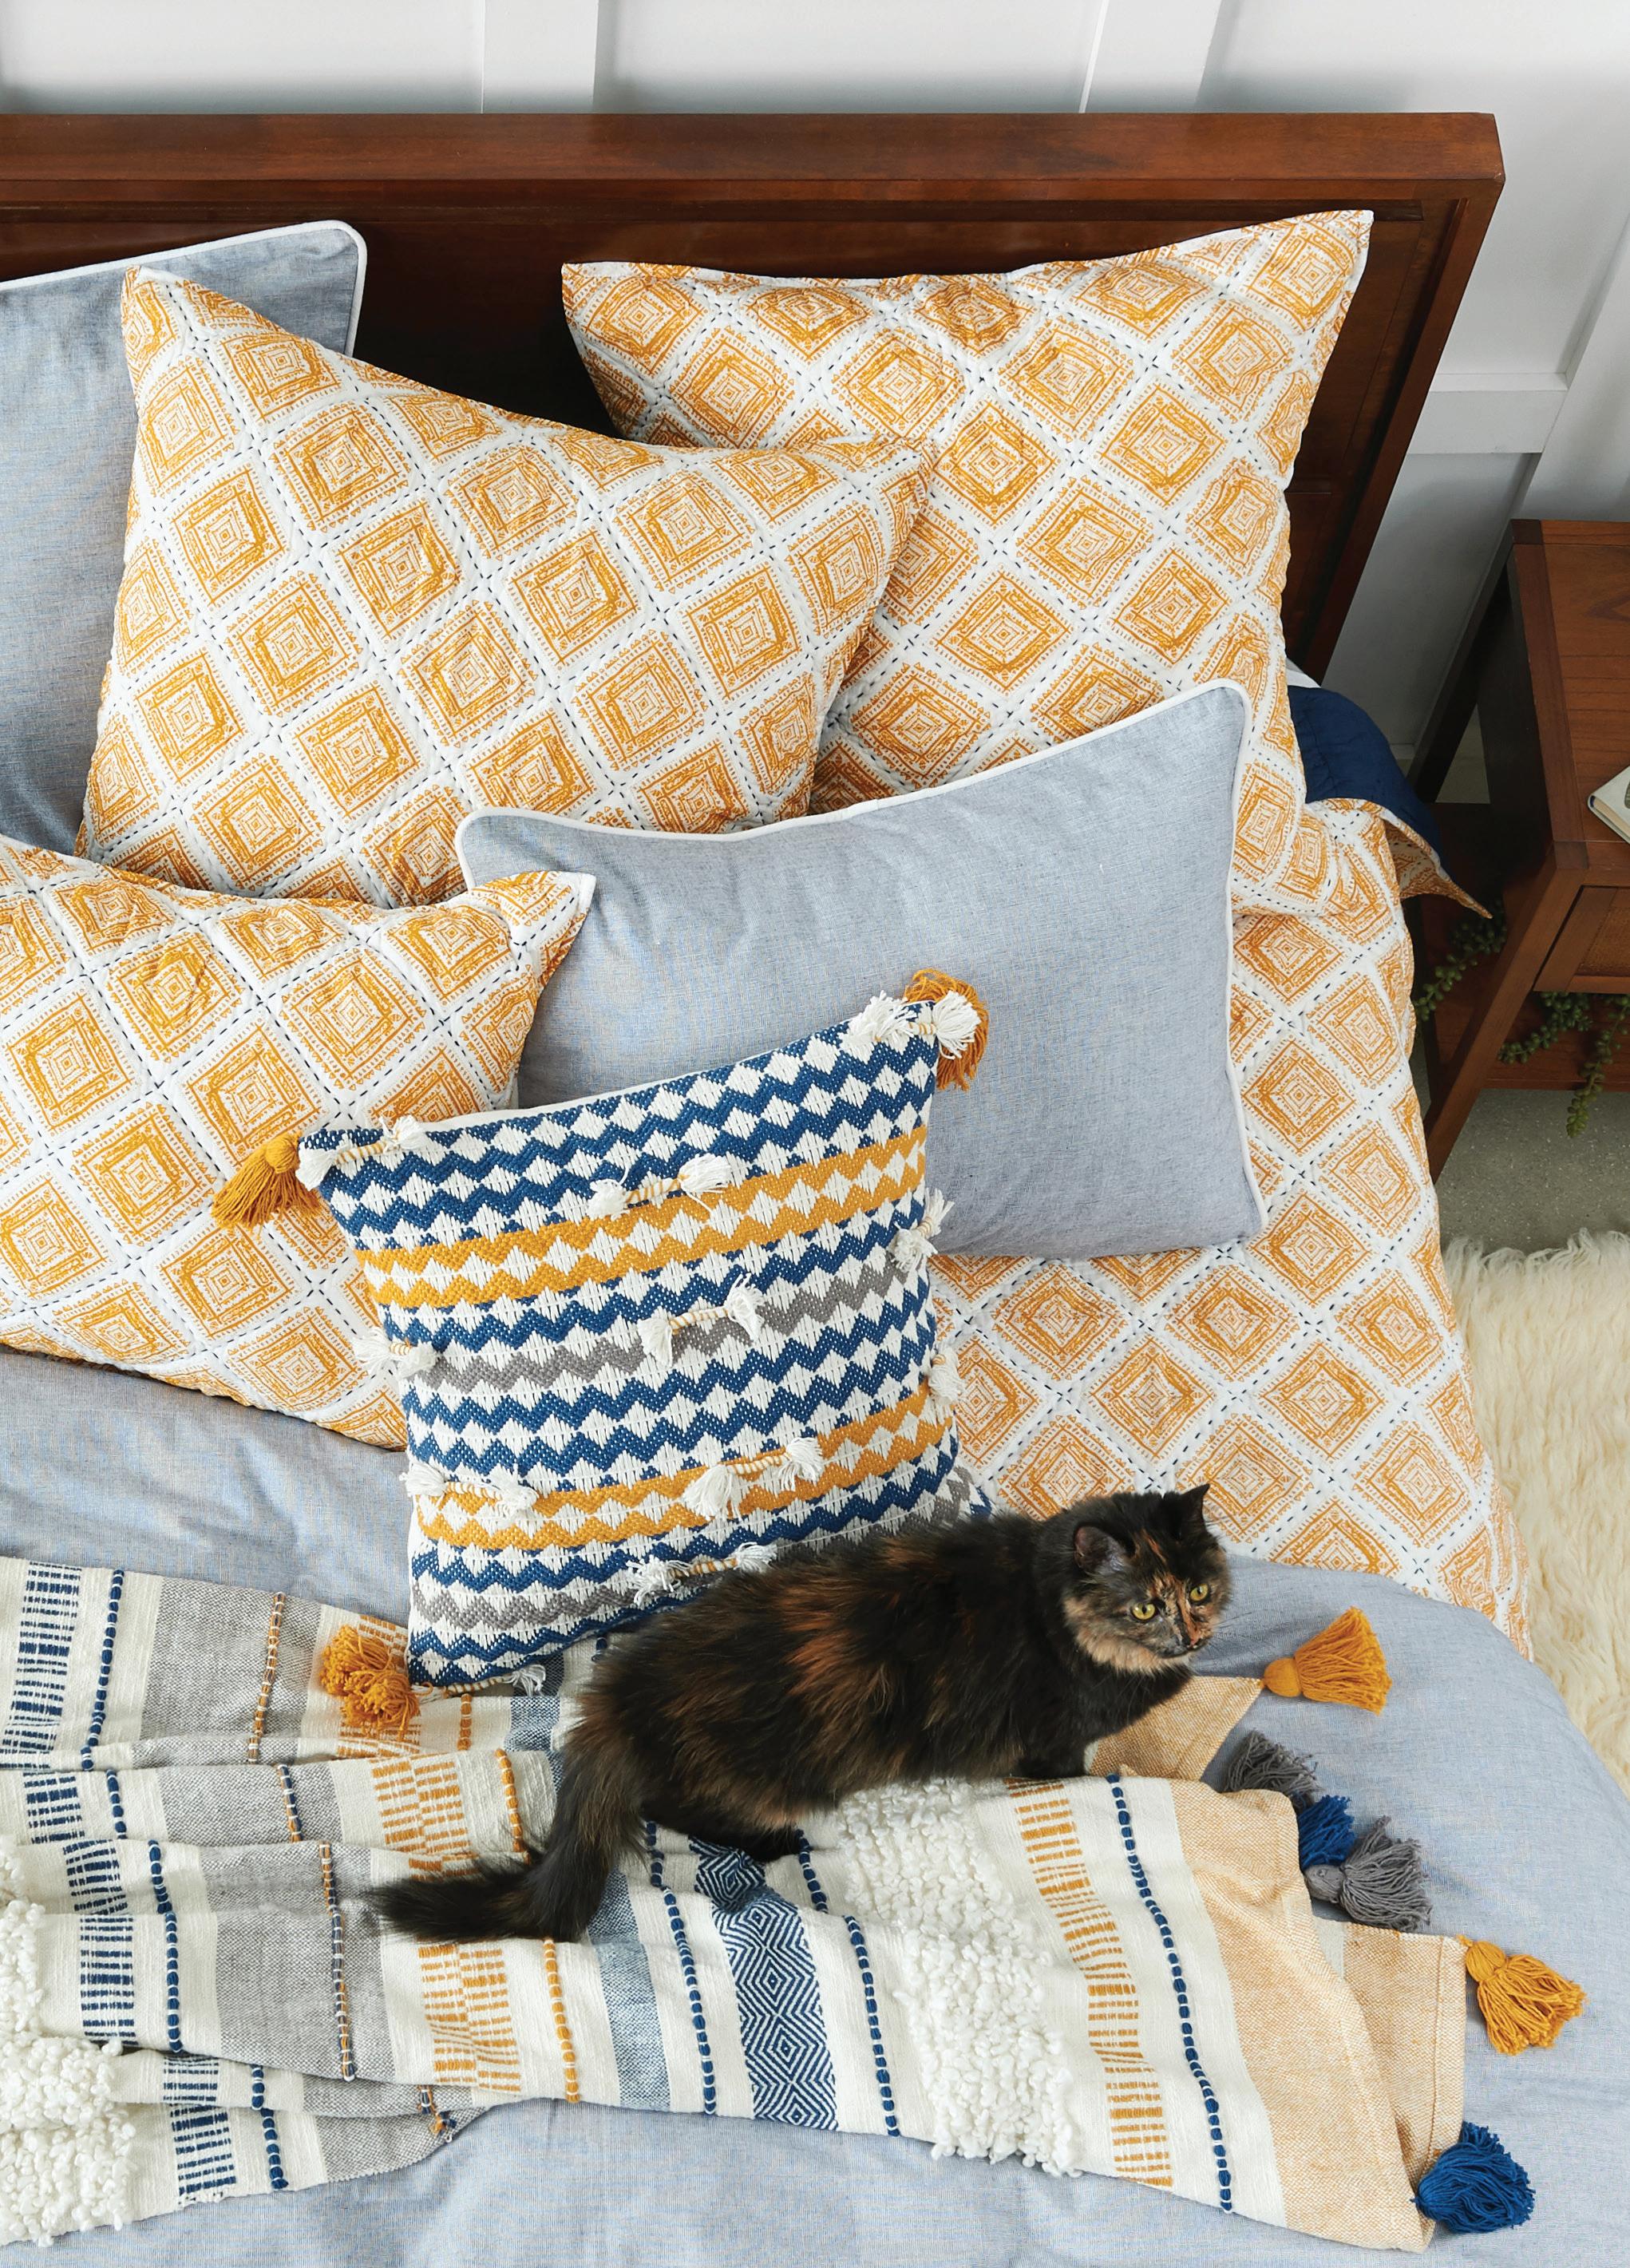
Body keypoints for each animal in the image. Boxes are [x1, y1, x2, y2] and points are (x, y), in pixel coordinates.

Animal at [377, 1486, 1230, 1946]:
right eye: (1145, 1604)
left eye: (1200, 1589)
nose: (1190, 1634)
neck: (1047, 1604)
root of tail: (614, 1696)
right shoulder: (1056, 1739)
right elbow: (1074, 1769)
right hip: (761, 1775)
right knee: (680, 1809)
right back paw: (776, 1840)